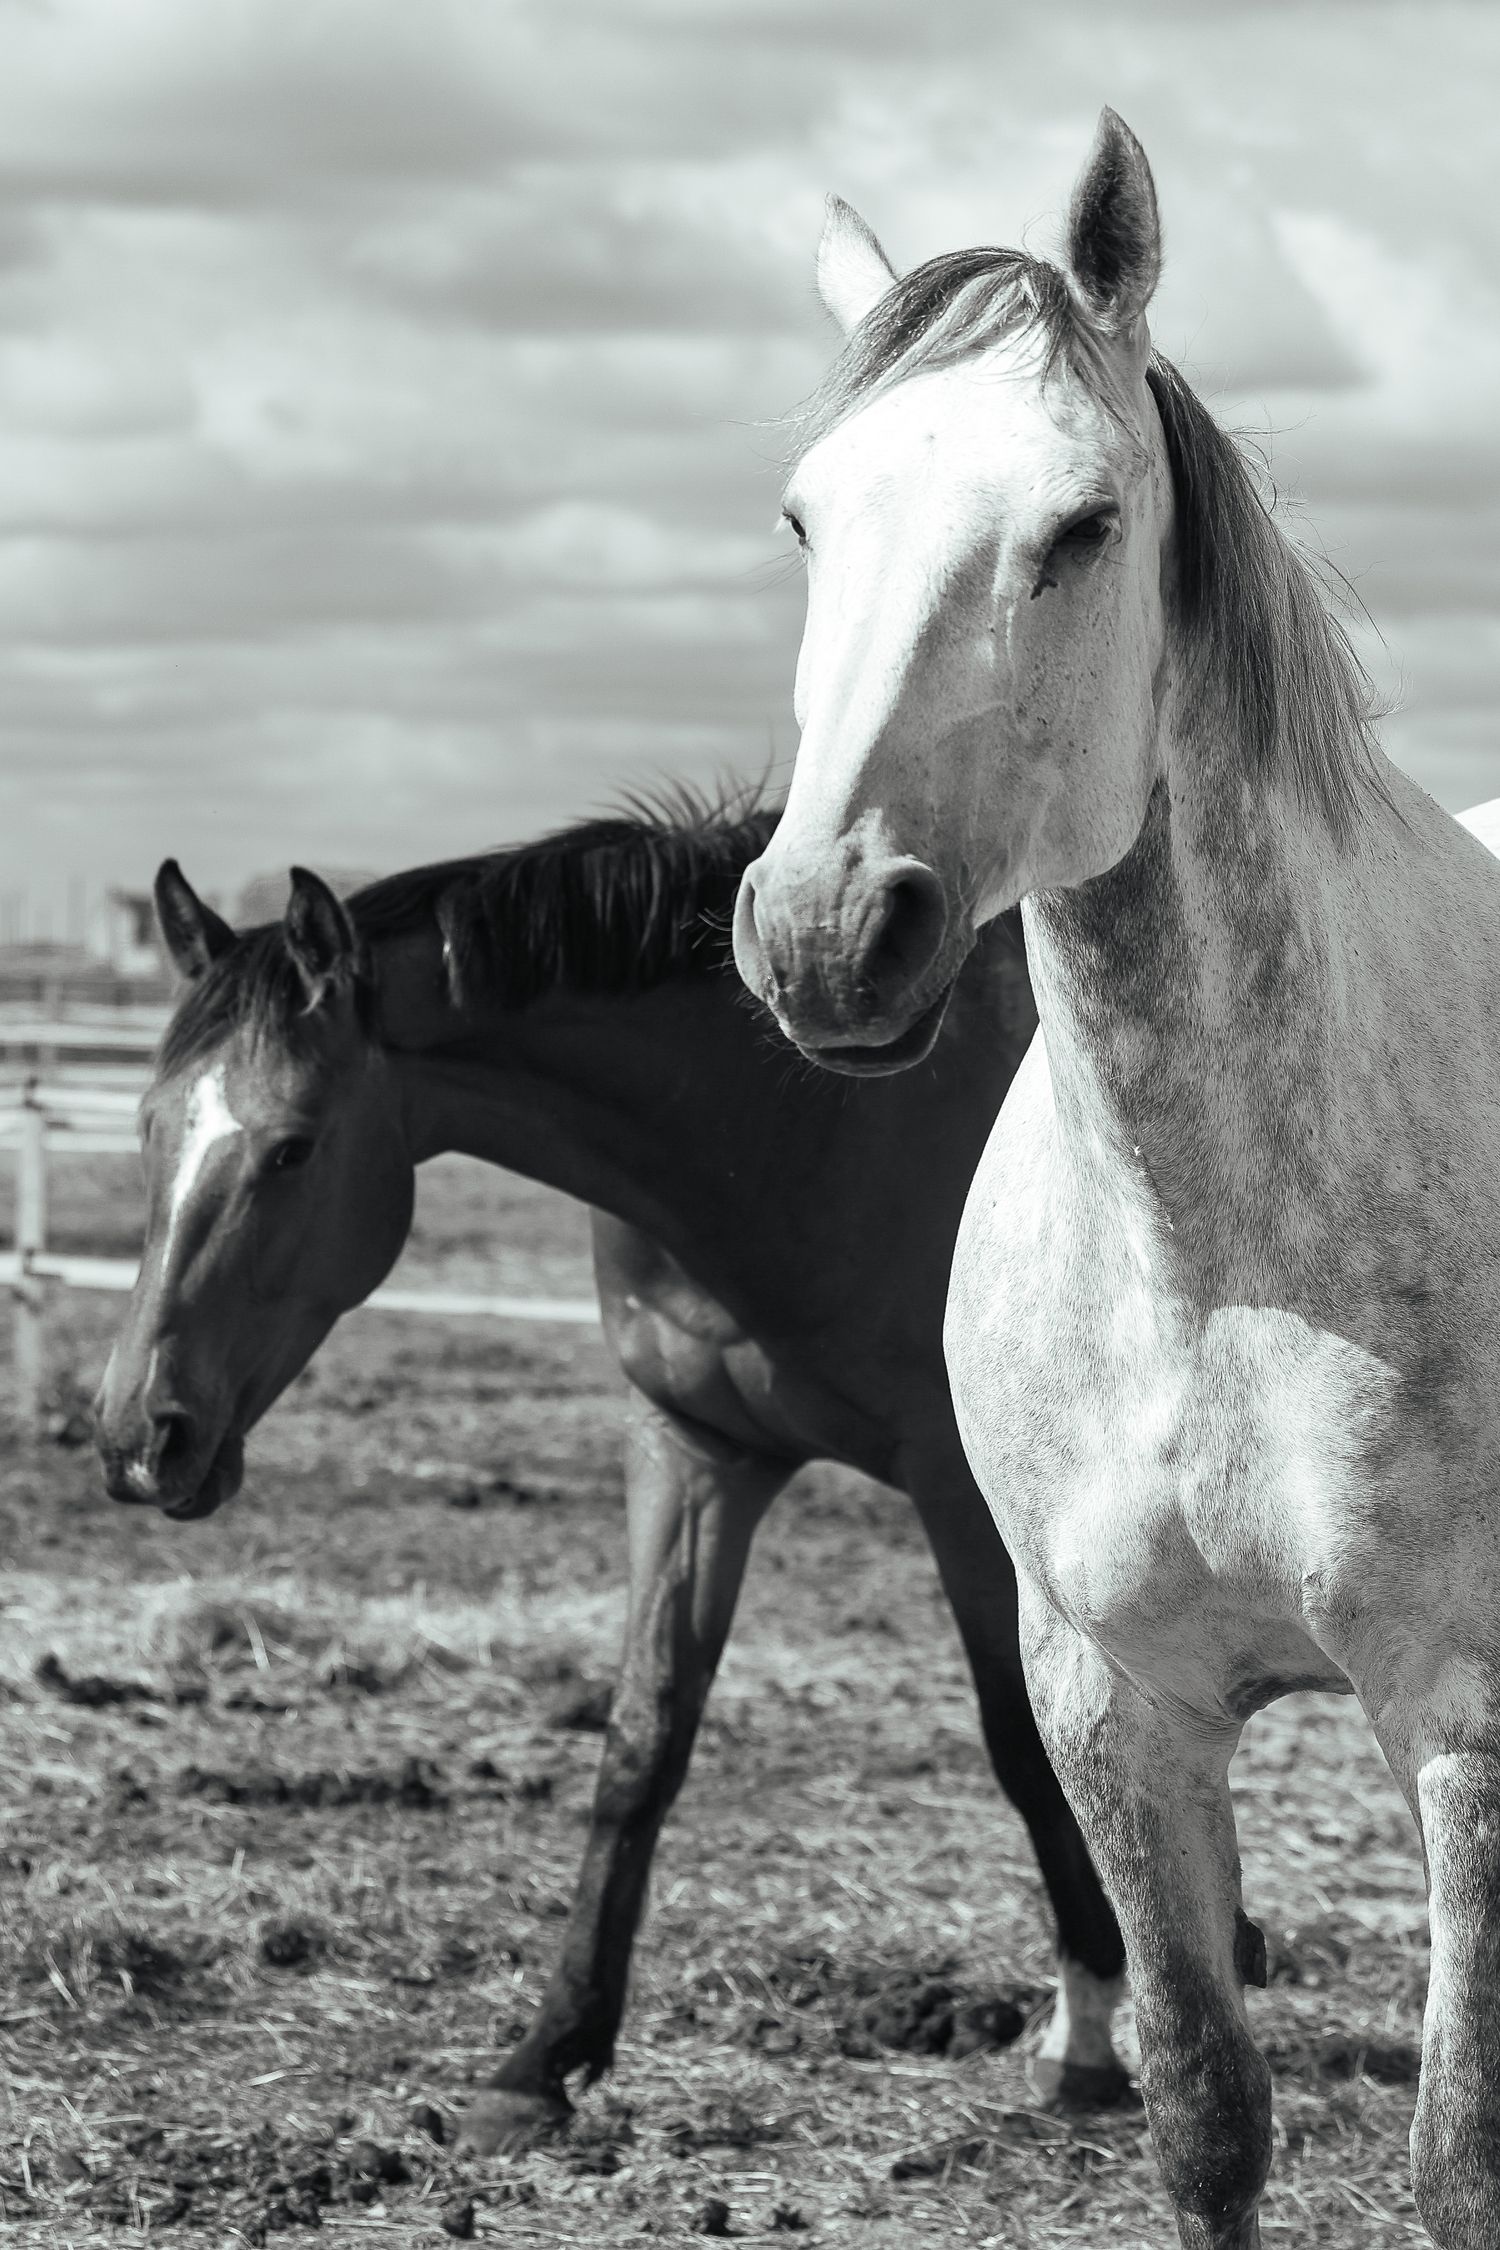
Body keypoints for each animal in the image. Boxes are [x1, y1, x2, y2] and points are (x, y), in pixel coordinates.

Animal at [92, 796, 1129, 2156]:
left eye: (291, 1150)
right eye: (149, 1127)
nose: (140, 1436)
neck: (804, 1133)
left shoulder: (963, 1496)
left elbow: (1021, 1742)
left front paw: (1090, 2034)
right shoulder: (691, 1453)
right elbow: (643, 1737)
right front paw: (544, 2053)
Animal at [732, 110, 1500, 2250]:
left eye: (1082, 527)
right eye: (809, 524)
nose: (828, 936)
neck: (1211, 1264)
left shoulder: (1463, 1716)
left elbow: (1456, 2159)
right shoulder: (1111, 1709)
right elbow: (1207, 2115)